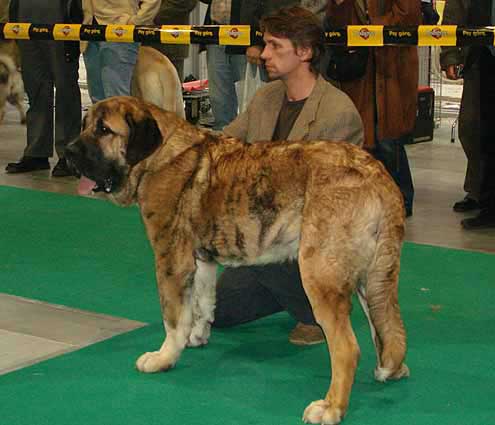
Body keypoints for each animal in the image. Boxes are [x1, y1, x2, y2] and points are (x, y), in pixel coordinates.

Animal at [68, 96, 412, 424]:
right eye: (85, 125)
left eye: (103, 130)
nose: (68, 152)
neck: (157, 156)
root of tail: (376, 172)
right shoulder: (200, 260)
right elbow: (202, 304)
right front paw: (197, 336)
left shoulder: (171, 258)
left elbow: (174, 316)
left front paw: (164, 357)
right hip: (372, 276)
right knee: (388, 326)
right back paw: (392, 370)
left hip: (319, 274)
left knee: (347, 348)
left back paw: (330, 408)